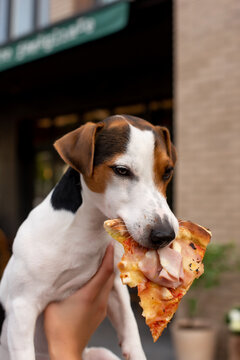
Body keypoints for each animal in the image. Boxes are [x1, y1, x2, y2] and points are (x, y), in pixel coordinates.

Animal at [0, 115, 178, 360]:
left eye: (168, 171)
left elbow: (130, 325)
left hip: (101, 353)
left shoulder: (114, 286)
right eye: (121, 170)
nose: (166, 235)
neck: (88, 230)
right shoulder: (21, 306)